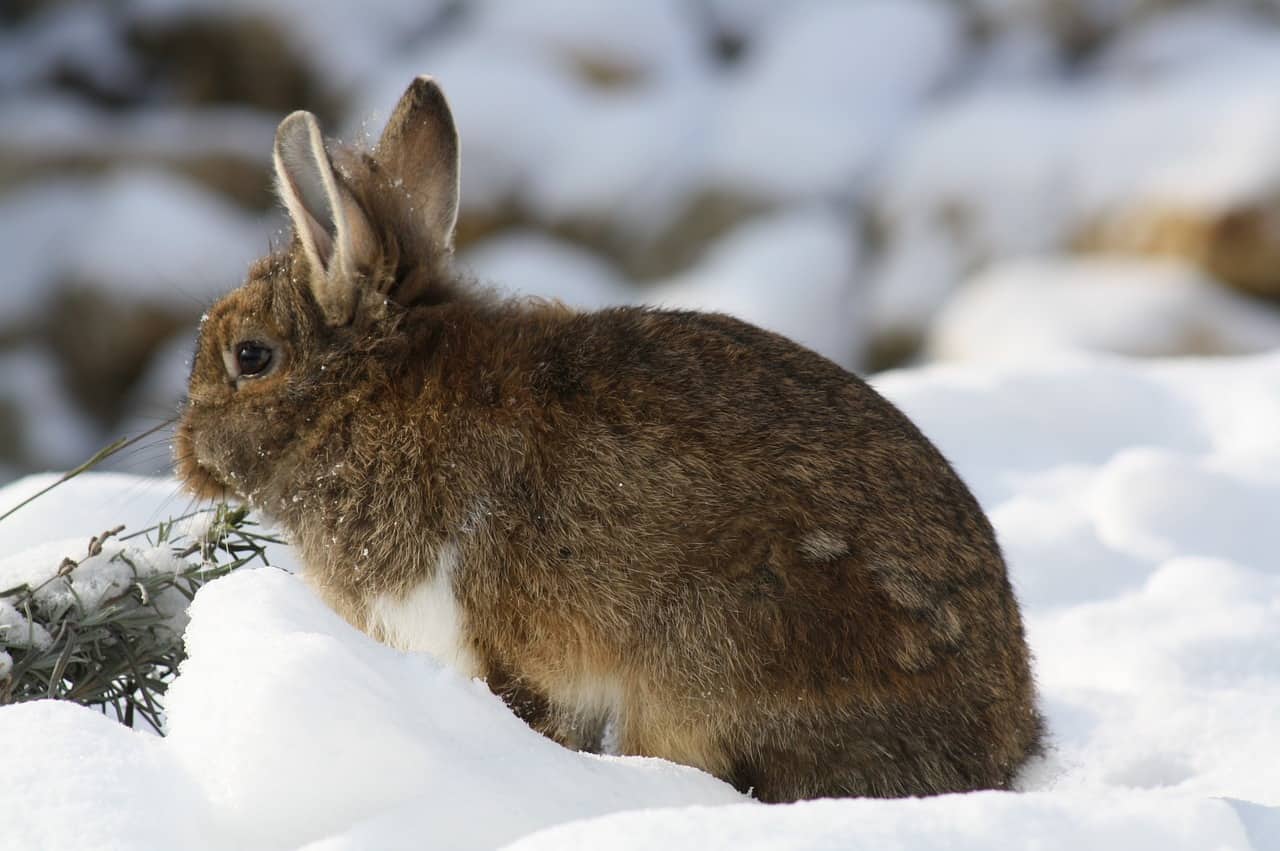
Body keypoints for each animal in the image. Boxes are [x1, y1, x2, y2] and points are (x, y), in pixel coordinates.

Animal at [177, 76, 1039, 798]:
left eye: (251, 356)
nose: (185, 456)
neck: (367, 395)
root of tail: (1003, 744)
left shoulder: (495, 647)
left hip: (723, 651)